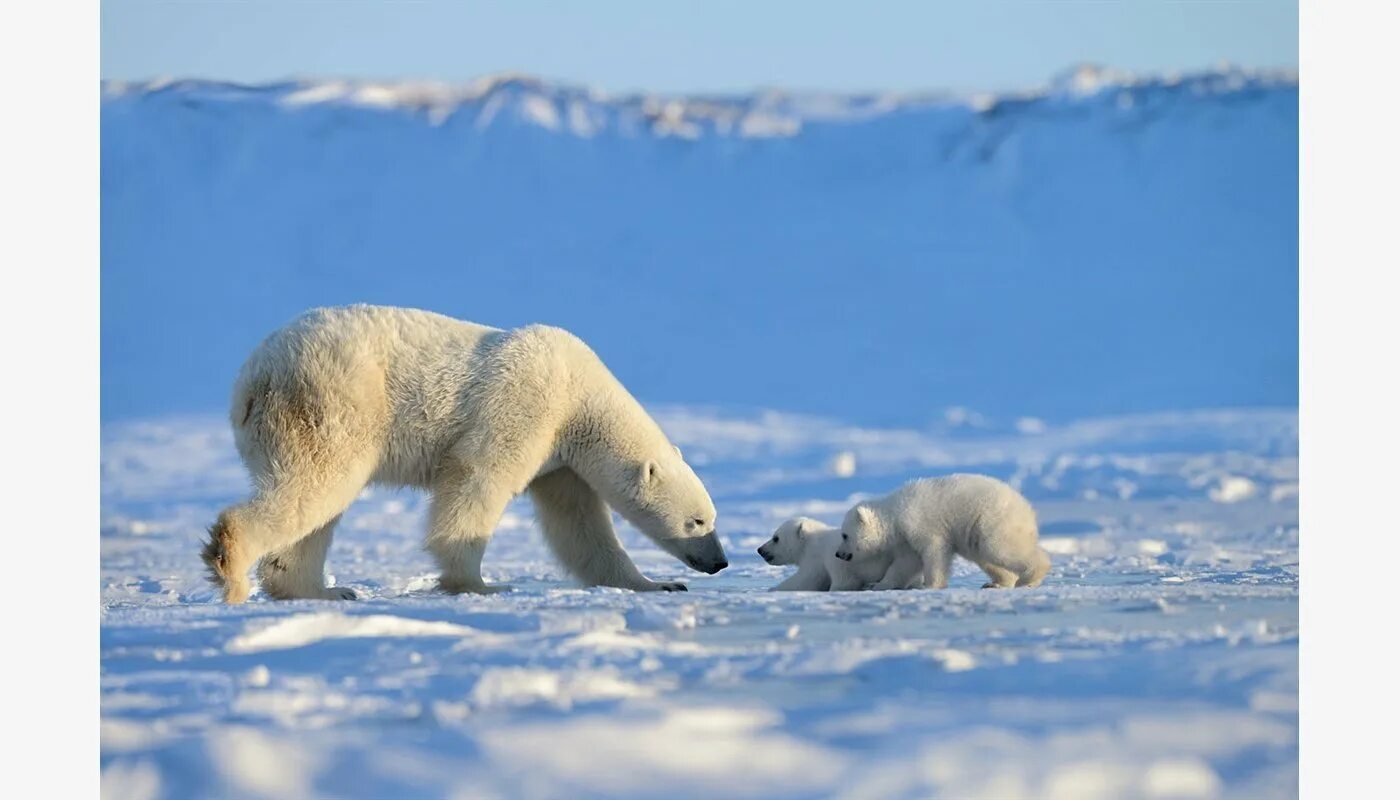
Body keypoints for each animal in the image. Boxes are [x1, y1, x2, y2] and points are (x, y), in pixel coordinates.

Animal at [203, 305, 728, 599]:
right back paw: (232, 566)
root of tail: (252, 377)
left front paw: (657, 584)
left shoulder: (560, 461)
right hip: (332, 403)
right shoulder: (527, 404)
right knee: (317, 483)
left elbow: (579, 525)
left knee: (317, 511)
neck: (579, 393)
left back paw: (323, 592)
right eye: (697, 521)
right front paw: (480, 583)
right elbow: (478, 477)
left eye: (711, 518)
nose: (719, 562)